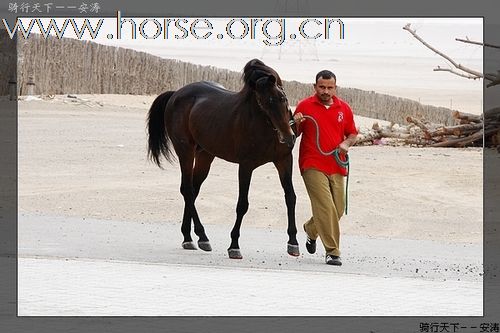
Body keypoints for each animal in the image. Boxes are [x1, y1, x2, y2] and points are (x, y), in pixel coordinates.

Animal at [146, 58, 298, 258]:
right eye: (262, 103)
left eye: (283, 98)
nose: (287, 137)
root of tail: (176, 94)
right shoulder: (246, 165)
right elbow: (242, 204)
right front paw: (234, 245)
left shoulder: (284, 160)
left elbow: (290, 197)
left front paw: (293, 242)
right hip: (185, 150)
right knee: (187, 190)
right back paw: (202, 236)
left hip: (205, 155)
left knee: (193, 190)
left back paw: (188, 237)